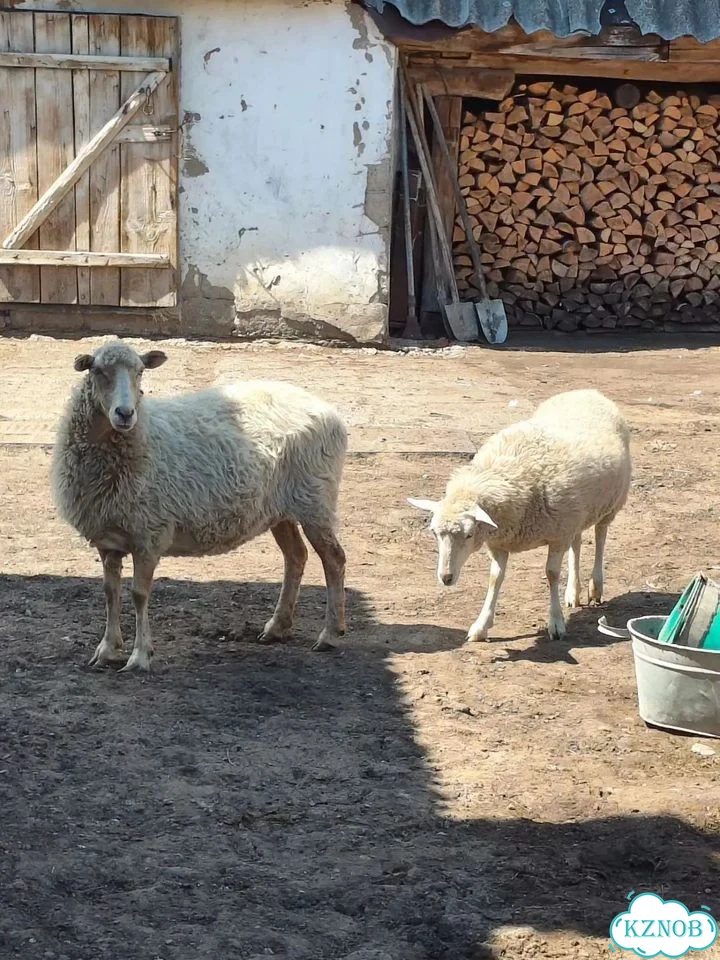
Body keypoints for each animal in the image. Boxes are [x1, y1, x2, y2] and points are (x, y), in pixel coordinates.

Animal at [51, 341, 347, 672]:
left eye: (140, 371)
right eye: (98, 371)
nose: (125, 414)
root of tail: (328, 410)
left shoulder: (149, 534)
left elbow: (139, 594)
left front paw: (140, 656)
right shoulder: (108, 537)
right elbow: (109, 592)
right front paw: (106, 649)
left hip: (316, 500)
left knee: (334, 559)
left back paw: (330, 634)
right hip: (280, 509)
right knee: (296, 556)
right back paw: (277, 627)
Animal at [408, 389, 631, 643]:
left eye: (469, 534)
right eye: (434, 533)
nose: (445, 577)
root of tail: (586, 391)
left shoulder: (557, 536)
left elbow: (552, 574)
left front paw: (556, 622)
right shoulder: (502, 542)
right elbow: (495, 578)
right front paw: (481, 625)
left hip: (609, 505)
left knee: (600, 537)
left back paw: (596, 586)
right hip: (578, 513)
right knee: (577, 543)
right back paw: (573, 591)